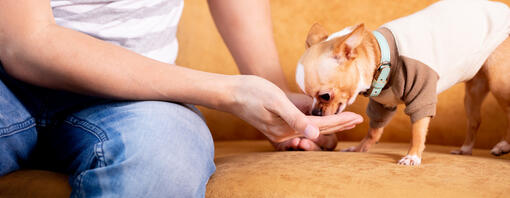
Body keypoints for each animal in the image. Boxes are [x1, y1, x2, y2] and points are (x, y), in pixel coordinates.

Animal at [294, 0, 510, 166]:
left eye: (325, 96)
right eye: (308, 97)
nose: (315, 113)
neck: (383, 57)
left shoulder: (422, 96)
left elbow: (417, 131)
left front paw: (413, 156)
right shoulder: (383, 104)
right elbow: (374, 131)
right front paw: (360, 148)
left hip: (500, 82)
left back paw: (503, 146)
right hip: (474, 91)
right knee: (475, 120)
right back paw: (465, 149)